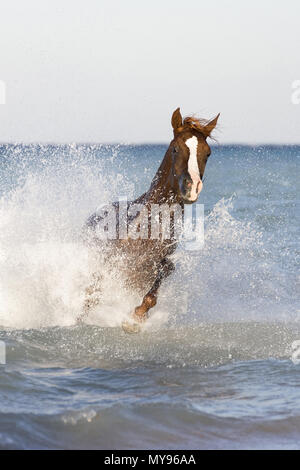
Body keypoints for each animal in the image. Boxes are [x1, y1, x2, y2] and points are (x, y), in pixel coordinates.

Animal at [81, 108, 219, 332]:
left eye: (207, 153)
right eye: (175, 149)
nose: (191, 188)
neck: (149, 226)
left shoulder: (159, 263)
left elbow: (159, 282)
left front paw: (136, 318)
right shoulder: (111, 263)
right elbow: (91, 294)